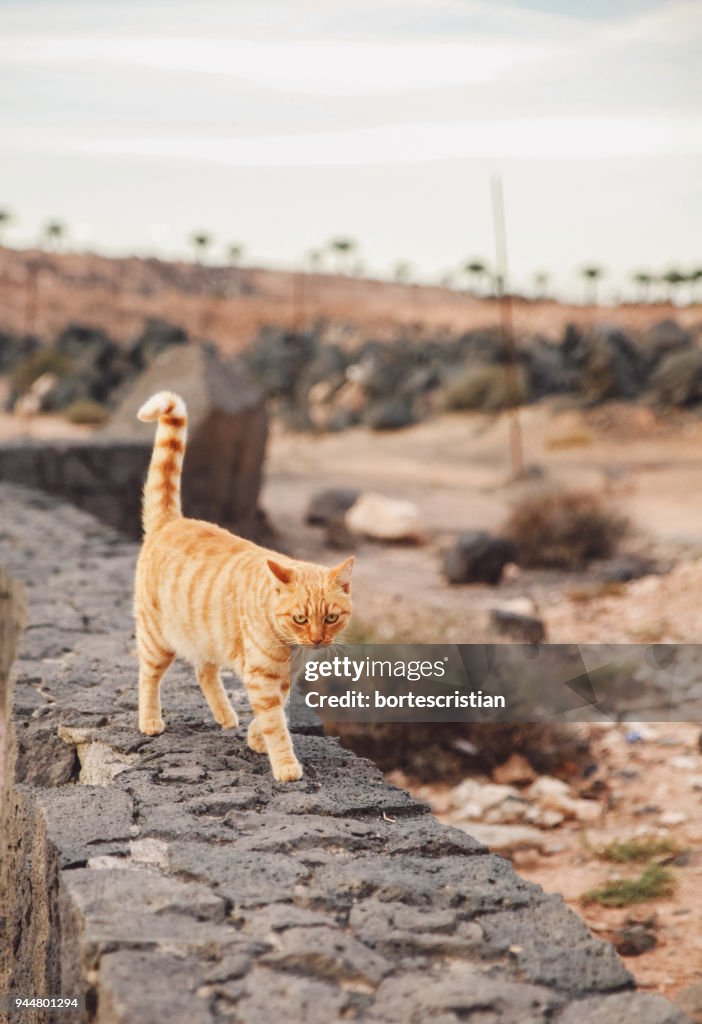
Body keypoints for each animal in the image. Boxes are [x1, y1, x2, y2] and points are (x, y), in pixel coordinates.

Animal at [133, 391, 352, 782]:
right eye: (300, 618)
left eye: (330, 618)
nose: (317, 640)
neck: (293, 649)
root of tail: (172, 522)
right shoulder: (263, 677)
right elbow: (276, 723)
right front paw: (284, 764)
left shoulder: (282, 679)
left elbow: (274, 713)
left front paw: (255, 738)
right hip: (157, 639)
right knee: (148, 677)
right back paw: (150, 720)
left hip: (205, 635)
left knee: (204, 671)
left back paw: (225, 716)